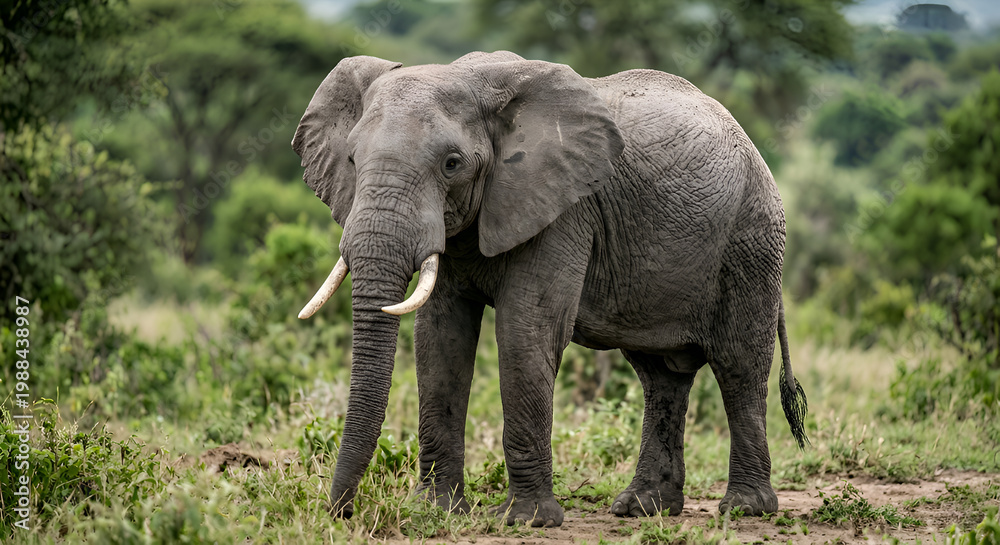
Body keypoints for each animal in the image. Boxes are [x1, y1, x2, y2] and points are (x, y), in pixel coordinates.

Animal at [291, 50, 808, 527]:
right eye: (352, 159)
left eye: (452, 164)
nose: (342, 512)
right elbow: (440, 340)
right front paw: (435, 511)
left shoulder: (564, 211)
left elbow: (527, 332)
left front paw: (525, 520)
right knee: (661, 376)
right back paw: (643, 508)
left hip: (751, 240)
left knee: (739, 366)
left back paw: (744, 509)